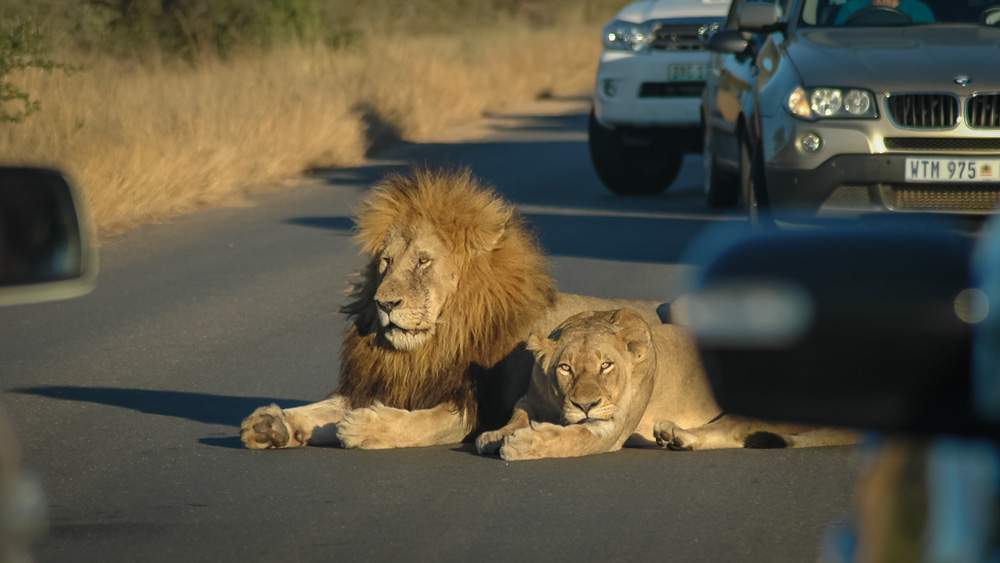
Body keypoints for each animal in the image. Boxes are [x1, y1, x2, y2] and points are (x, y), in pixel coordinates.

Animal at [238, 167, 668, 450]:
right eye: (385, 262)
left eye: (422, 262)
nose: (384, 302)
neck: (427, 347)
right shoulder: (388, 383)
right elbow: (323, 410)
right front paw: (273, 424)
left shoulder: (470, 408)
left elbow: (419, 424)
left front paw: (364, 427)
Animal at [476, 308, 860, 462]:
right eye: (566, 368)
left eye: (606, 365)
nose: (585, 405)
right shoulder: (530, 399)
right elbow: (517, 415)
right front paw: (494, 434)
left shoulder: (610, 429)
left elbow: (571, 439)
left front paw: (521, 445)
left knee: (734, 430)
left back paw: (674, 435)